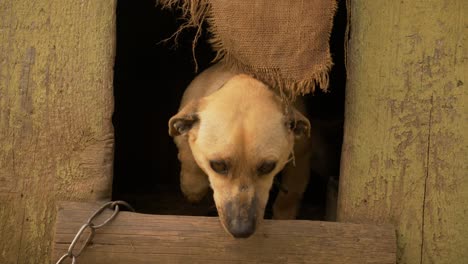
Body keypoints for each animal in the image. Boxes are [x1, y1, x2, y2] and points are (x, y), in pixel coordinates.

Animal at [168, 63, 310, 238]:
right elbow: (188, 154)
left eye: (268, 166)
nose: (241, 230)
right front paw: (192, 188)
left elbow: (290, 194)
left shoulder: (301, 156)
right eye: (217, 165)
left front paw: (285, 216)